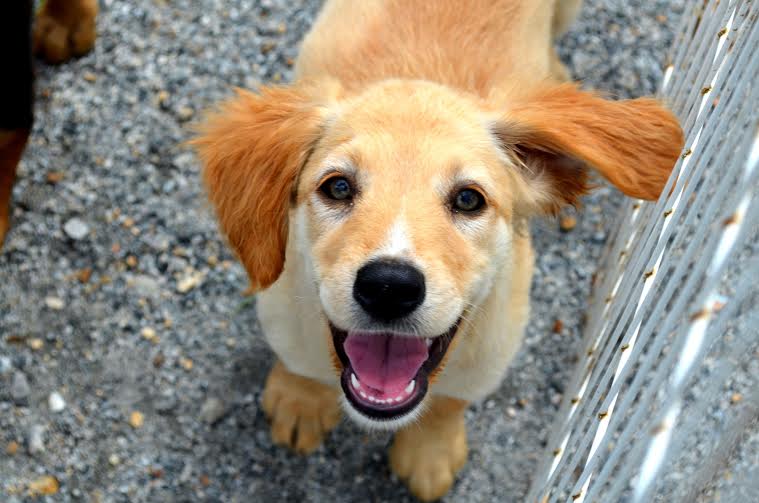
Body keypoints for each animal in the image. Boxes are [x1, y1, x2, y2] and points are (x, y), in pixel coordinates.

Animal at [193, 0, 684, 500]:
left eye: (469, 199)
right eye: (337, 187)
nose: (389, 287)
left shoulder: (492, 350)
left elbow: (449, 401)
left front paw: (430, 452)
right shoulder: (282, 312)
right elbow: (301, 366)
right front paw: (300, 402)